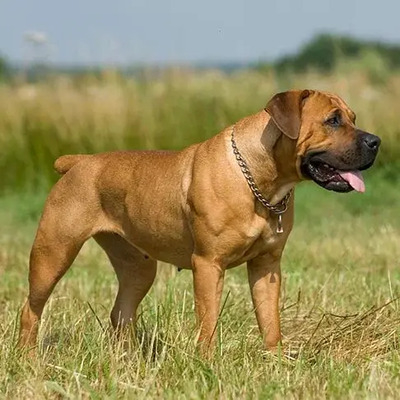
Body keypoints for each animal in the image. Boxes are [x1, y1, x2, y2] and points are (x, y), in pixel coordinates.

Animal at [19, 90, 382, 354]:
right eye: (332, 120)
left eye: (352, 118)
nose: (376, 141)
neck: (259, 180)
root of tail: (79, 162)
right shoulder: (208, 264)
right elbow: (207, 322)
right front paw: (206, 363)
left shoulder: (267, 266)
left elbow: (270, 320)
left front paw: (276, 360)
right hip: (54, 253)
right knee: (31, 308)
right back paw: (28, 358)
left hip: (138, 267)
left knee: (121, 312)